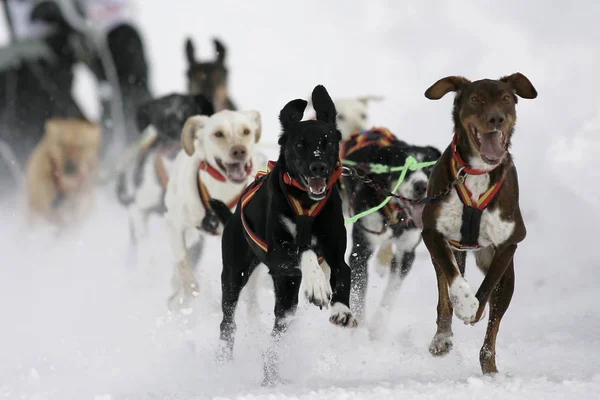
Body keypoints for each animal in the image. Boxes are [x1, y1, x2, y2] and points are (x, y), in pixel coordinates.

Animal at [163, 110, 262, 312]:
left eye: (246, 131)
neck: (222, 191)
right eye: (218, 134)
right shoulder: (174, 226)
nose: (239, 151)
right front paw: (183, 299)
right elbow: (186, 271)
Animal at [209, 85, 356, 388]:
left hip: (286, 295)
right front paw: (317, 283)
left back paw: (272, 371)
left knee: (280, 328)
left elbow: (342, 278)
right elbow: (304, 250)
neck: (306, 203)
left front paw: (341, 310)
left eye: (327, 142)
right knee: (228, 321)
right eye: (300, 144)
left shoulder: (337, 257)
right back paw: (225, 360)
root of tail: (232, 217)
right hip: (235, 275)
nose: (318, 167)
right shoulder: (279, 254)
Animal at [342, 129, 440, 334]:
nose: (421, 186)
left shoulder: (407, 251)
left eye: (429, 170)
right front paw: (361, 328)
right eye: (404, 169)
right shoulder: (361, 248)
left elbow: (391, 292)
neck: (396, 217)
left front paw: (378, 325)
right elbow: (359, 292)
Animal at [420, 72, 536, 376]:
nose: (496, 118)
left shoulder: (509, 244)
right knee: (444, 296)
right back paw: (443, 337)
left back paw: (490, 368)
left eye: (506, 98)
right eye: (475, 98)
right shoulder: (431, 233)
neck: (475, 172)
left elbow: (487, 288)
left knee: (493, 328)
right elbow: (452, 279)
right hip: (446, 251)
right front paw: (464, 302)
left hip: (509, 279)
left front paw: (474, 308)